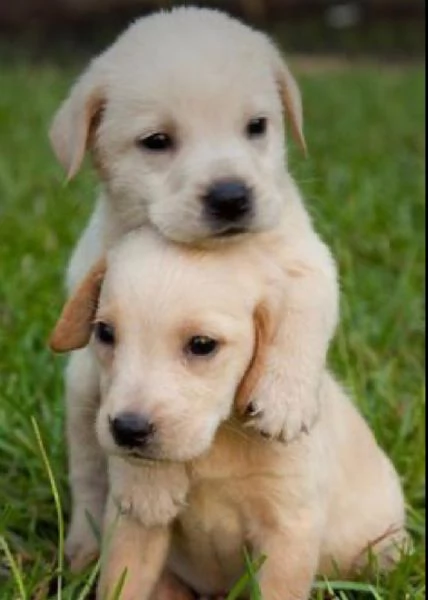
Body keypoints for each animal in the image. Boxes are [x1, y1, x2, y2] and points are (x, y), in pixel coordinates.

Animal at [49, 5, 338, 568]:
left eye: (256, 127)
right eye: (157, 141)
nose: (231, 196)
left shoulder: (309, 260)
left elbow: (305, 310)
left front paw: (287, 397)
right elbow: (133, 396)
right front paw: (149, 486)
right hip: (80, 401)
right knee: (90, 473)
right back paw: (84, 546)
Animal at [49, 229, 408, 600]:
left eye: (202, 344)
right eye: (105, 333)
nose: (127, 429)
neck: (219, 440)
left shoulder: (288, 528)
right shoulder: (132, 526)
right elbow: (123, 583)